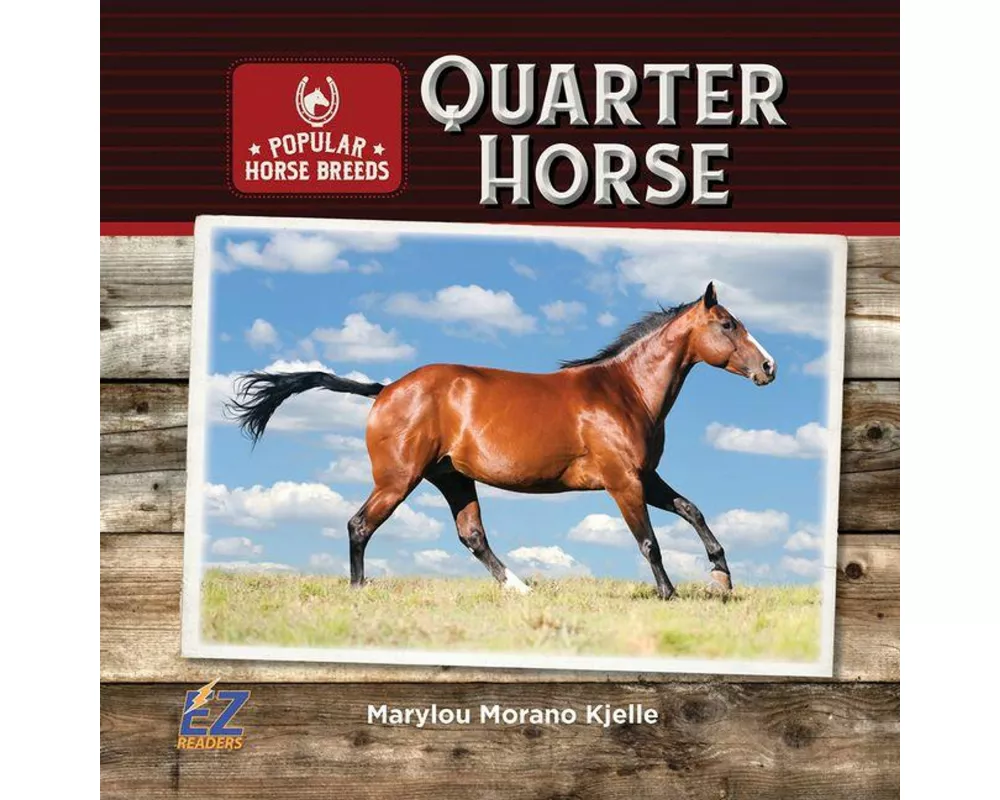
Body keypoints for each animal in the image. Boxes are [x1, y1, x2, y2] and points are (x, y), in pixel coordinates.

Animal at [227, 281, 776, 600]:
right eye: (728, 324)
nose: (769, 367)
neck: (624, 390)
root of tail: (385, 390)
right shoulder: (623, 481)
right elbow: (649, 541)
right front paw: (670, 594)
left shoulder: (645, 476)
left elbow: (692, 510)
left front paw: (721, 576)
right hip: (398, 479)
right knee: (359, 525)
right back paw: (359, 590)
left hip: (452, 479)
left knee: (472, 536)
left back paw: (520, 588)